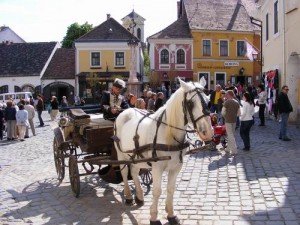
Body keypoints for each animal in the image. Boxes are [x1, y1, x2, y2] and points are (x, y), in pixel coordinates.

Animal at [113, 78, 213, 225]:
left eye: (208, 100)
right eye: (190, 103)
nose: (208, 132)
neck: (169, 134)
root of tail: (125, 111)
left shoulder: (176, 167)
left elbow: (171, 189)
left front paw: (171, 214)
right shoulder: (157, 167)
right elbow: (157, 191)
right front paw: (154, 217)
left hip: (136, 156)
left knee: (134, 172)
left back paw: (139, 196)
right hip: (121, 154)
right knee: (125, 173)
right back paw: (129, 196)